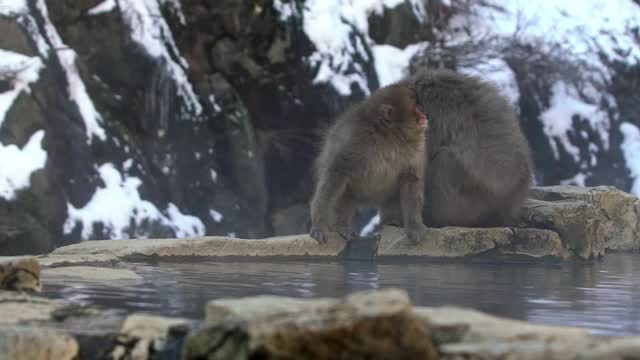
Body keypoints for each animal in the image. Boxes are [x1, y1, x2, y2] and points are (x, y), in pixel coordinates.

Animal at [310, 83, 430, 243]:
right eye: (415, 107)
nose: (424, 115)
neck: (390, 137)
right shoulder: (355, 139)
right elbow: (336, 174)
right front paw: (319, 226)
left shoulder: (416, 149)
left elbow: (411, 180)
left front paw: (414, 226)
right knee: (342, 193)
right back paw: (341, 226)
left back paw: (391, 222)